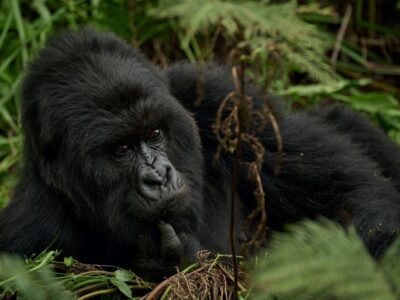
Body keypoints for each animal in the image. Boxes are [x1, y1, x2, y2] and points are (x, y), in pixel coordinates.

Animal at [0, 29, 400, 278]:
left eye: (155, 133)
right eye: (121, 149)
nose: (159, 176)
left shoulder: (219, 98)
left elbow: (351, 195)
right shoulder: (27, 237)